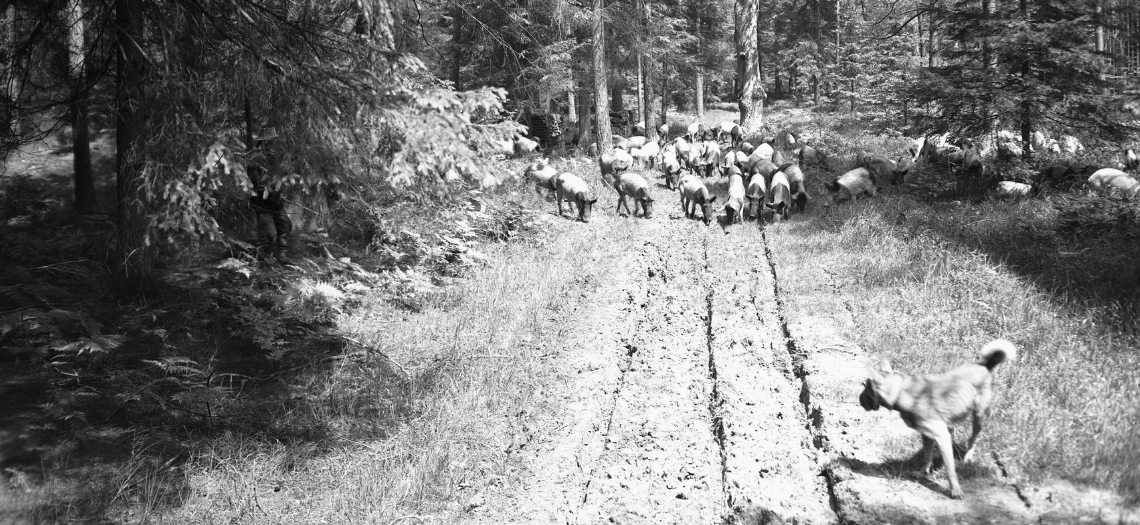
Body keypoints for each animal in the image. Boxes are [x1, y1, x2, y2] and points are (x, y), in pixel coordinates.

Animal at [857, 337, 1021, 496]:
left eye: (865, 387)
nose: (858, 399)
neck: (901, 392)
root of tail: (984, 364)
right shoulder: (927, 435)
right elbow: (926, 457)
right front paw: (922, 474)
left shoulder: (940, 434)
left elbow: (950, 470)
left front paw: (955, 490)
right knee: (951, 435)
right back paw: (938, 454)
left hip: (978, 416)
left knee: (973, 438)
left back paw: (967, 457)